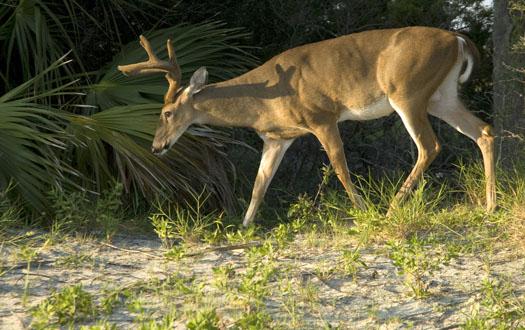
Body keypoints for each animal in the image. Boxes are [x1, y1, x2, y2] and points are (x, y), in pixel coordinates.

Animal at [118, 27, 496, 227]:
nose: (156, 147)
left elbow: (341, 169)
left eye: (167, 112)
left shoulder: (322, 117)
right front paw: (243, 227)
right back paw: (490, 205)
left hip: (408, 92)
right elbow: (259, 185)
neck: (263, 100)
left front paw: (363, 212)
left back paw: (390, 208)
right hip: (441, 96)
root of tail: (459, 40)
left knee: (429, 146)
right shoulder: (276, 138)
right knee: (483, 131)